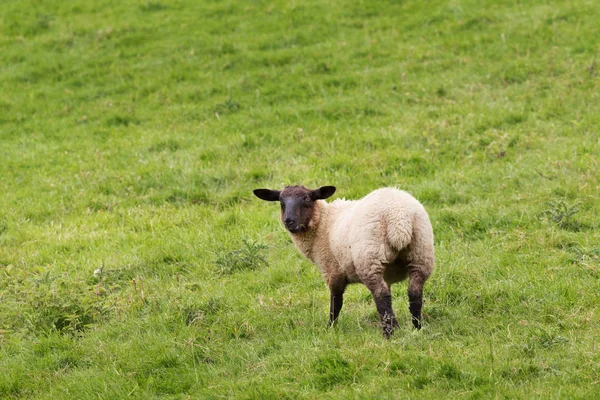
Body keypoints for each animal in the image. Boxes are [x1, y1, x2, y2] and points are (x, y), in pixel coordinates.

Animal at [253, 184, 436, 338]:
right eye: (281, 201)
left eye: (306, 199)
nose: (289, 221)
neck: (322, 224)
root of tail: (399, 219)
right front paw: (396, 324)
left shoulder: (332, 270)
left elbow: (336, 302)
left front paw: (330, 328)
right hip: (421, 254)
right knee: (414, 292)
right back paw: (416, 328)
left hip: (370, 259)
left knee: (381, 295)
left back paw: (388, 334)